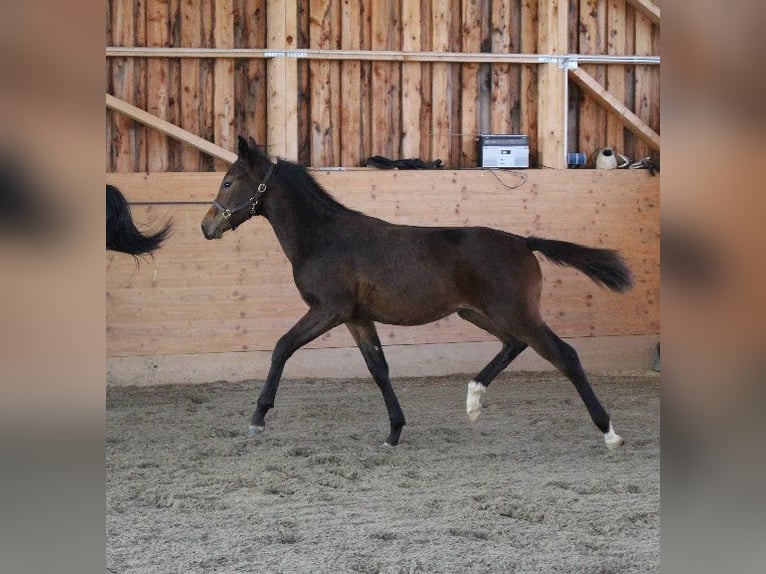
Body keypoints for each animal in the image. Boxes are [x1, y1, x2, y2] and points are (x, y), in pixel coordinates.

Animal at [201, 136, 632, 449]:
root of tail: (524, 242)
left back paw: (609, 432)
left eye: (228, 182)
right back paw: (473, 401)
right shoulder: (357, 317)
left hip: (515, 312)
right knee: (514, 344)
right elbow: (378, 369)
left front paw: (257, 418)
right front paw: (394, 431)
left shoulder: (328, 311)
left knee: (565, 355)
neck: (324, 237)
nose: (207, 227)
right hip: (478, 312)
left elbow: (282, 348)